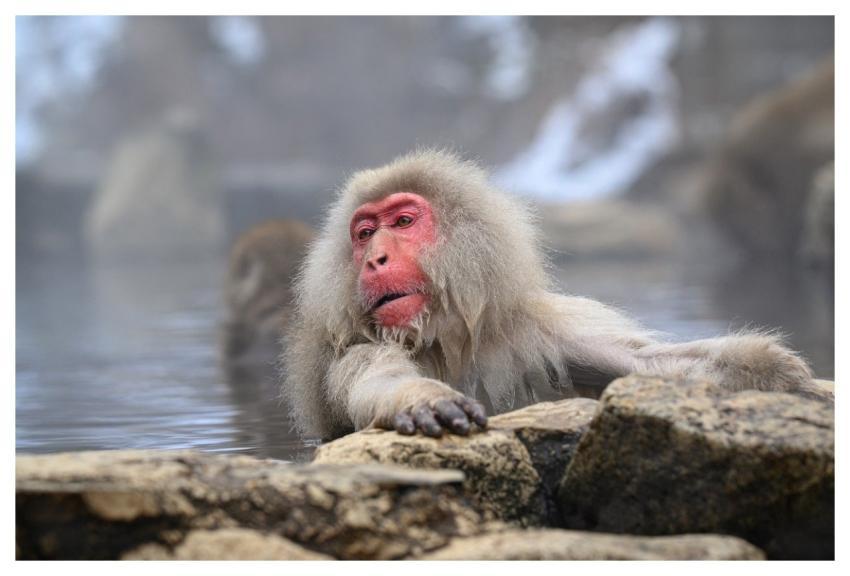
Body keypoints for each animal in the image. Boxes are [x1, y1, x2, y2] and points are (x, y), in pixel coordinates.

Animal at [282, 149, 826, 441]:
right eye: (364, 233)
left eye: (402, 222)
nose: (374, 259)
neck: (447, 341)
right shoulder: (355, 351)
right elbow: (378, 382)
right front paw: (423, 398)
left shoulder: (542, 330)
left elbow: (647, 364)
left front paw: (772, 372)